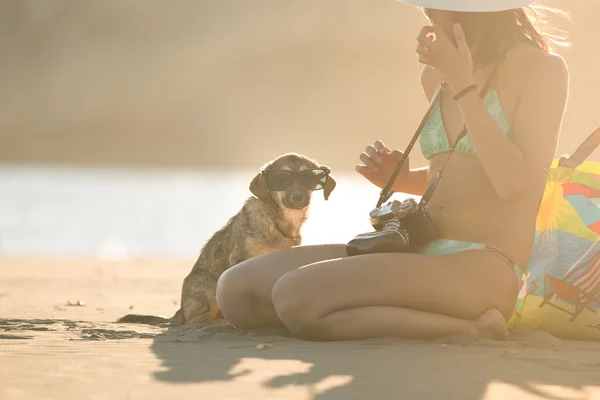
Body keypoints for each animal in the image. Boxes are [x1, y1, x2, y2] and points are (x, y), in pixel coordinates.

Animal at [115, 152, 336, 326]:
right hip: (208, 285)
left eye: (309, 179)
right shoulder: (240, 259)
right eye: (282, 178)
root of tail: (180, 312)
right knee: (196, 320)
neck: (279, 221)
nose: (298, 198)